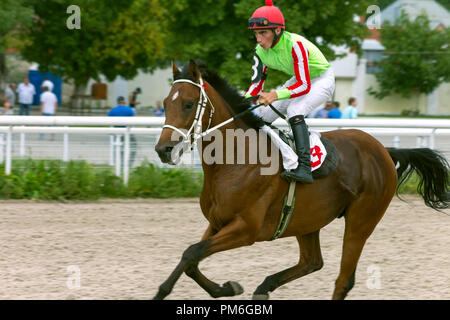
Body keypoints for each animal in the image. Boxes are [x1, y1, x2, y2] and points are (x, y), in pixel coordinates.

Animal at [154, 60, 446, 300]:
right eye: (166, 103)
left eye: (189, 104)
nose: (163, 150)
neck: (235, 162)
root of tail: (383, 150)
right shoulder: (217, 223)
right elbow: (192, 259)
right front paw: (227, 288)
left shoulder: (246, 229)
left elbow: (192, 252)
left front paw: (163, 292)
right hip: (308, 219)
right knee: (312, 261)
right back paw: (264, 287)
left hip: (361, 221)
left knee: (343, 279)